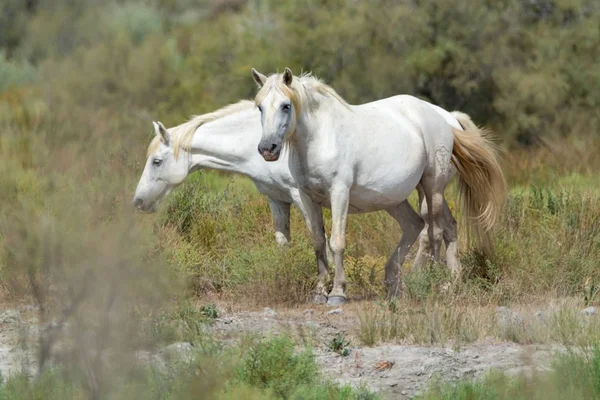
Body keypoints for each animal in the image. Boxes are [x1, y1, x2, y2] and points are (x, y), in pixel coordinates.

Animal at [251, 69, 504, 304]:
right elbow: (319, 243)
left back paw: (420, 279)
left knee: (432, 230)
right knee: (431, 225)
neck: (320, 137)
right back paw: (442, 284)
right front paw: (320, 291)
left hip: (432, 187)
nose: (267, 149)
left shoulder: (339, 193)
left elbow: (336, 242)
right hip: (399, 198)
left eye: (285, 106)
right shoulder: (306, 197)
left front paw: (338, 292)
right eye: (260, 107)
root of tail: (448, 119)